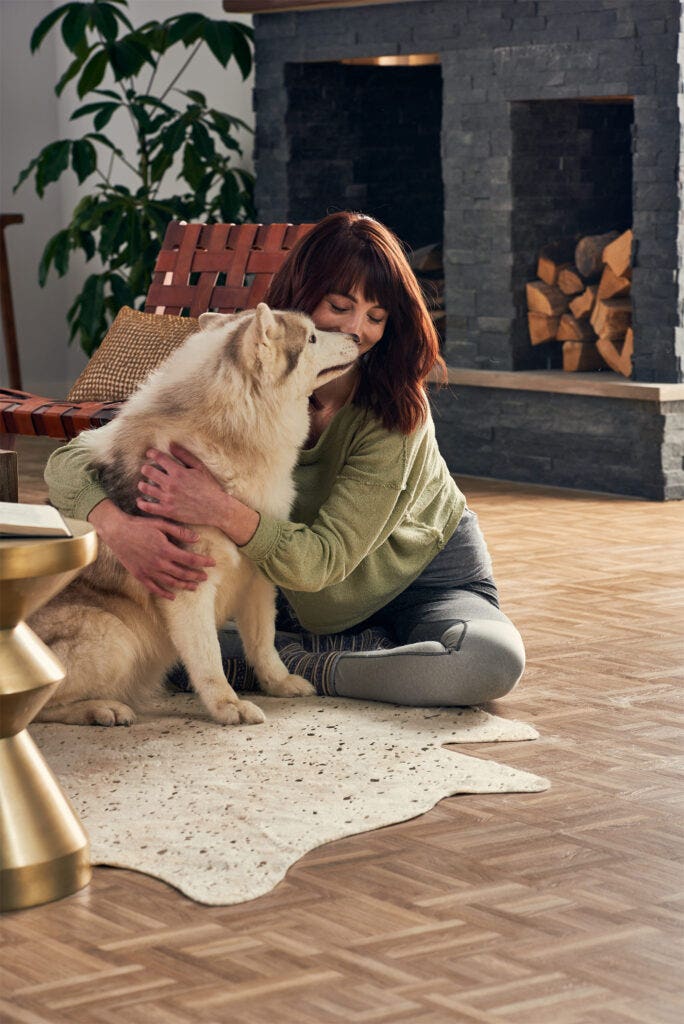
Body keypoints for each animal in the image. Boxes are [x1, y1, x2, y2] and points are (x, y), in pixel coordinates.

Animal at [33, 303, 358, 729]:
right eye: (313, 338)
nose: (356, 337)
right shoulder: (189, 588)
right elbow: (209, 658)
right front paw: (228, 705)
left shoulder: (257, 576)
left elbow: (264, 642)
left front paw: (279, 683)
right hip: (115, 638)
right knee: (39, 707)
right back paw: (103, 708)